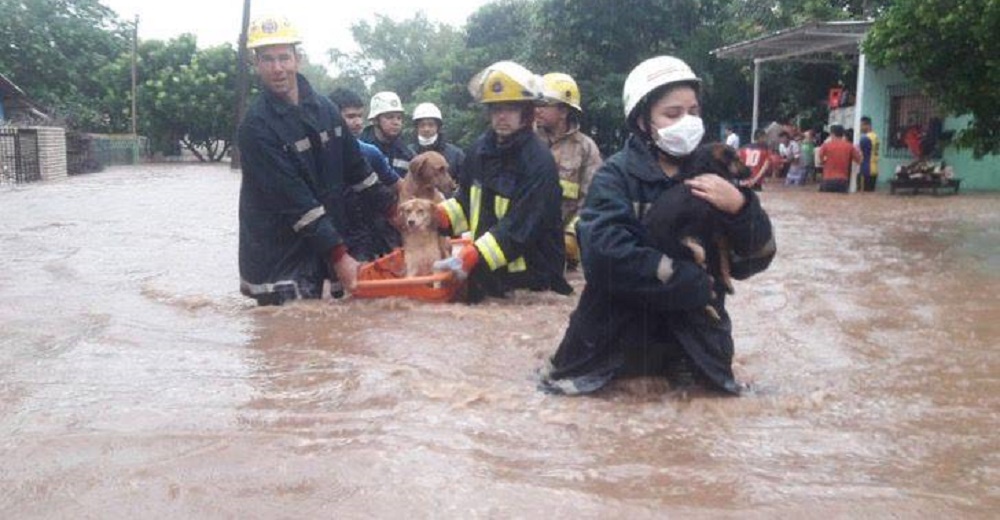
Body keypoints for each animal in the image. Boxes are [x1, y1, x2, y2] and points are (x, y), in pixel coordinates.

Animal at [640, 143, 752, 320]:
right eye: (737, 158)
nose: (751, 171)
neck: (702, 170)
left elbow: (723, 259)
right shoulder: (716, 230)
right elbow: (722, 257)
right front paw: (726, 281)